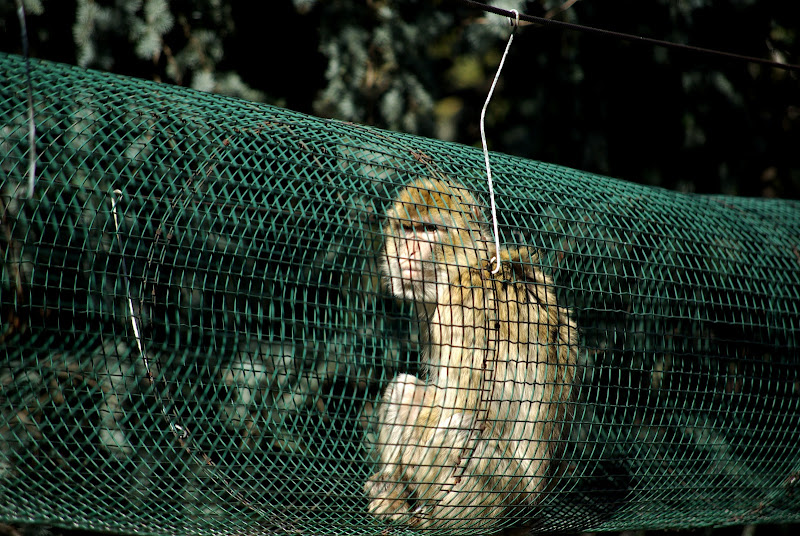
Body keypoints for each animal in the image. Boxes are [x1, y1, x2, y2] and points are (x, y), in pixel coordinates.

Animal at [366, 177, 580, 532]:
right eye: (407, 228)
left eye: (428, 229)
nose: (407, 251)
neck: (463, 267)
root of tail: (530, 508)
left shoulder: (463, 307)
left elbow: (458, 404)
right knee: (406, 389)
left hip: (489, 497)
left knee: (456, 423)